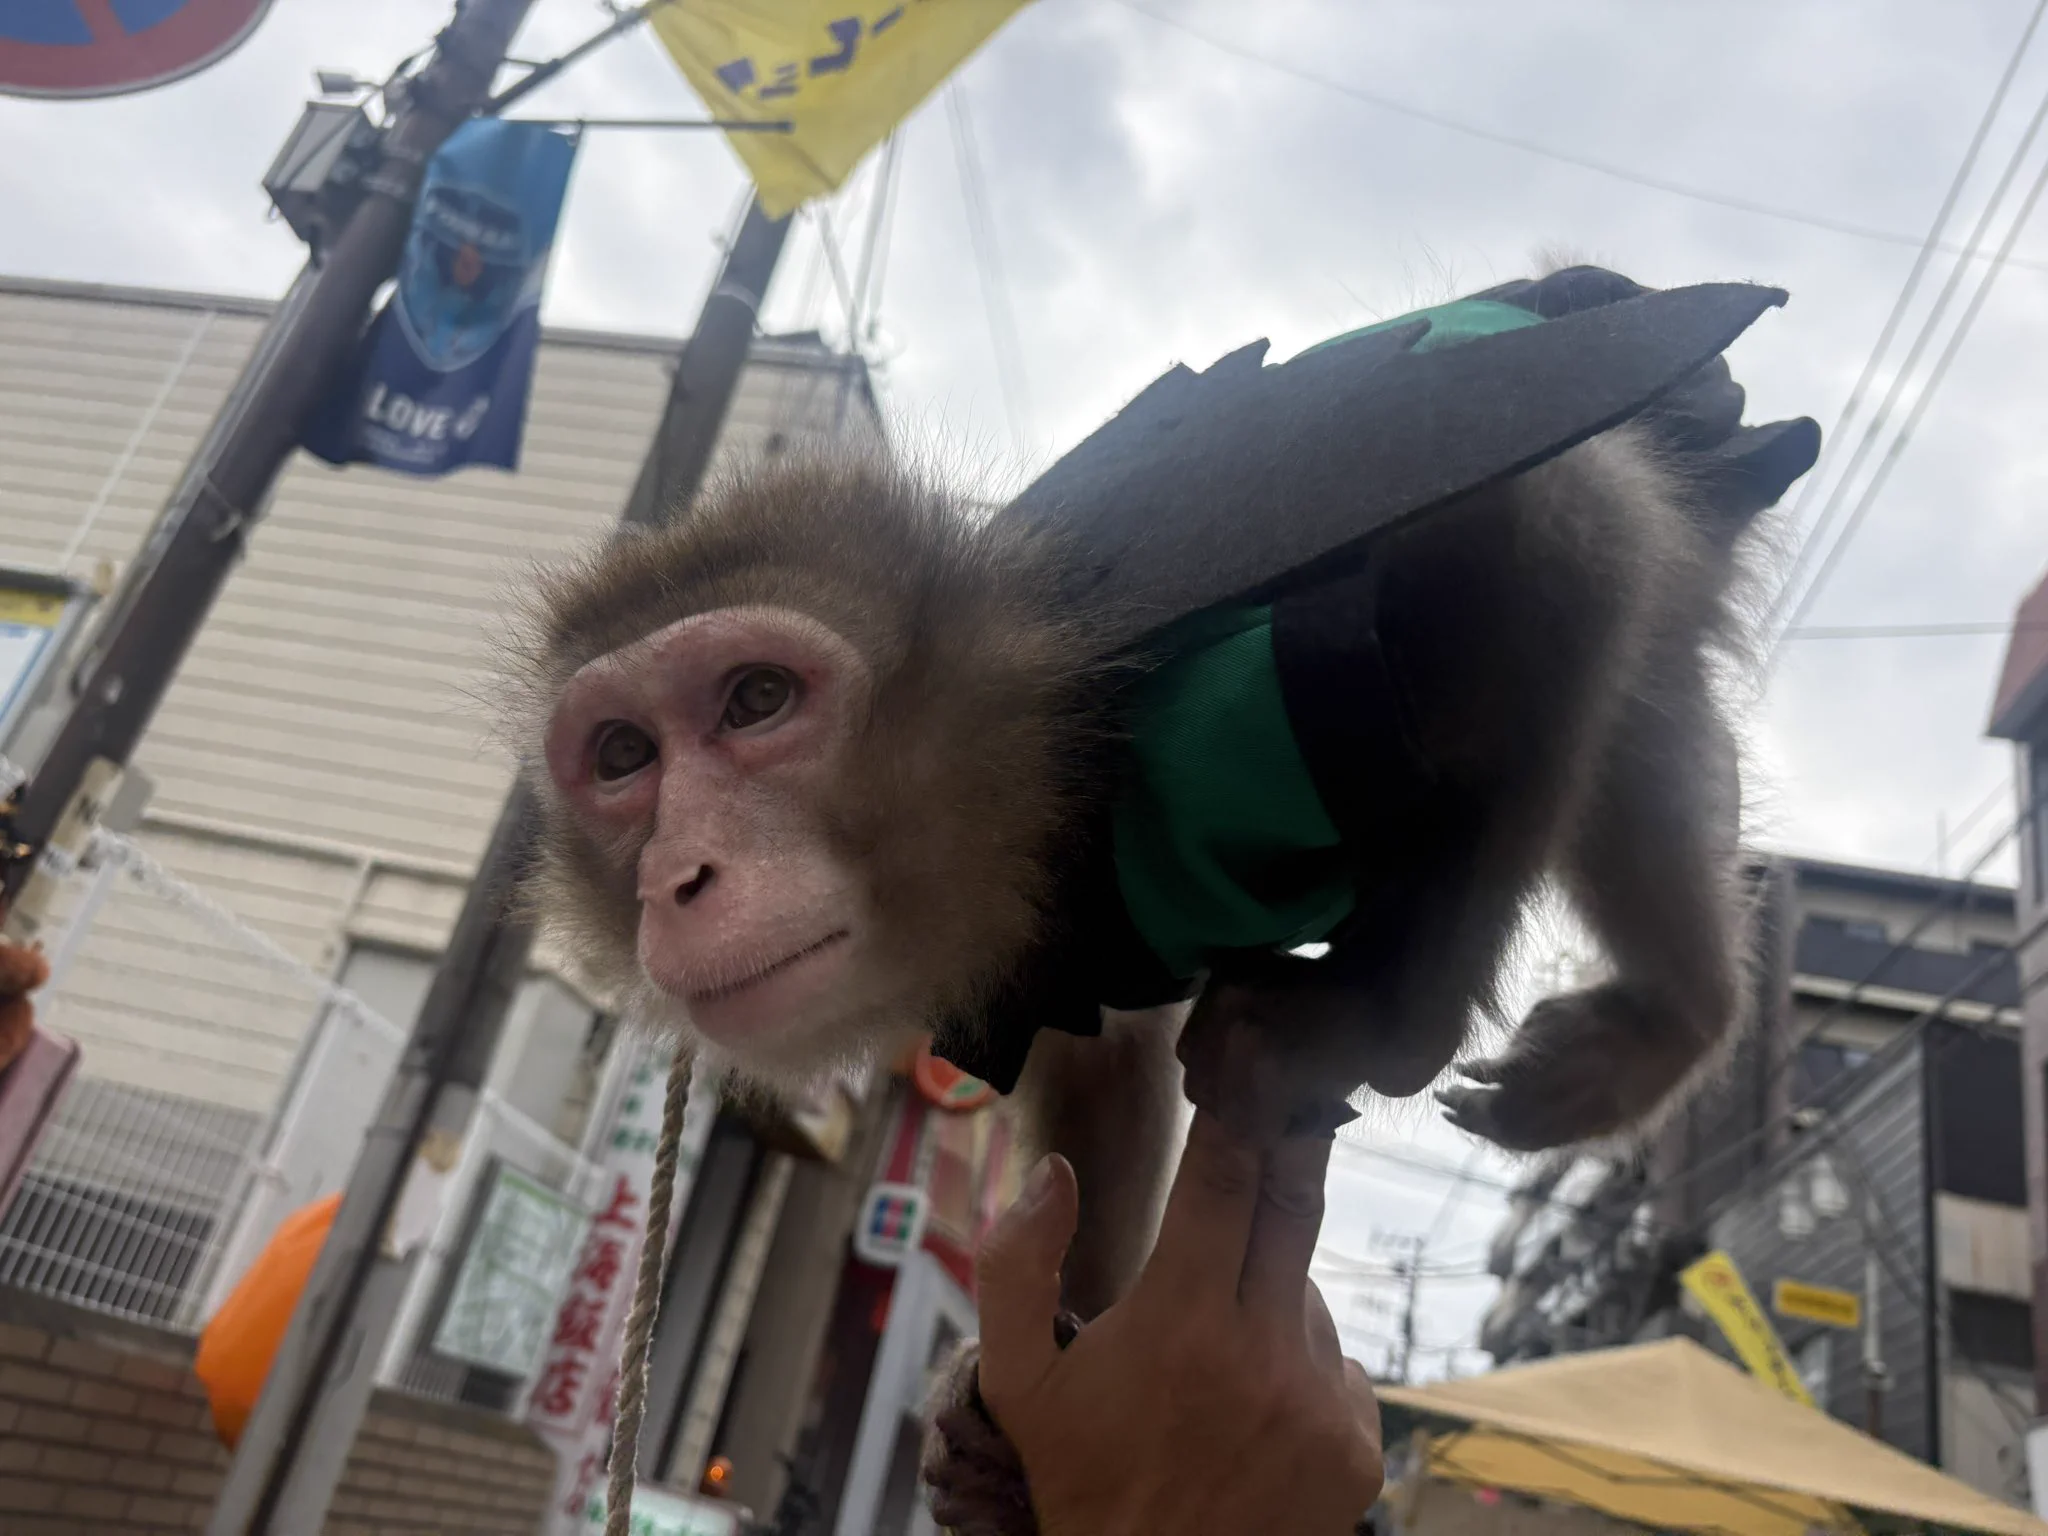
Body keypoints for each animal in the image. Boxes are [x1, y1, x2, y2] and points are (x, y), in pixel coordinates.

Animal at [507, 265, 1819, 1334]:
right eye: (622, 755)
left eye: (758, 698)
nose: (679, 876)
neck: (1047, 792)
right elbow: (1104, 1063)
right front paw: (1064, 1357)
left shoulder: (1229, 706)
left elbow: (1559, 509)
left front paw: (1386, 1018)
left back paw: (1659, 1014)